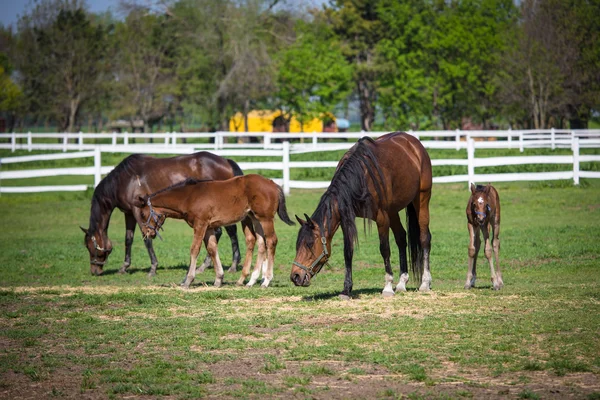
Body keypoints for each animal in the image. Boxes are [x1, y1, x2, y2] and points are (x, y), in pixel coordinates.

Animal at [80, 152, 244, 276]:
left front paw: (153, 268)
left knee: (228, 231)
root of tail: (226, 161)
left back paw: (231, 265)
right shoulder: (129, 213)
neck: (125, 180)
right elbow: (128, 239)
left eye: (89, 246)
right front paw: (124, 267)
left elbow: (146, 239)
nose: (94, 271)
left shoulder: (138, 211)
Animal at [135, 174, 296, 288]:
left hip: (265, 218)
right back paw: (251, 281)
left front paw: (188, 281)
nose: (148, 233)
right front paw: (218, 279)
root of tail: (272, 183)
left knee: (271, 241)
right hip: (255, 218)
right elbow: (212, 249)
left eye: (142, 214)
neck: (189, 197)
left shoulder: (200, 224)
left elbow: (195, 249)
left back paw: (266, 280)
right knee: (262, 243)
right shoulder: (209, 227)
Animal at [290, 133, 432, 298]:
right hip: (393, 211)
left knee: (424, 238)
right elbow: (348, 252)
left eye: (310, 244)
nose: (295, 276)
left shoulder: (381, 218)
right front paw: (346, 290)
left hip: (422, 199)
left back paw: (425, 283)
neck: (360, 177)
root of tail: (413, 142)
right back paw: (402, 283)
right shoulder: (346, 218)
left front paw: (387, 287)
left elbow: (384, 249)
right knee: (401, 238)